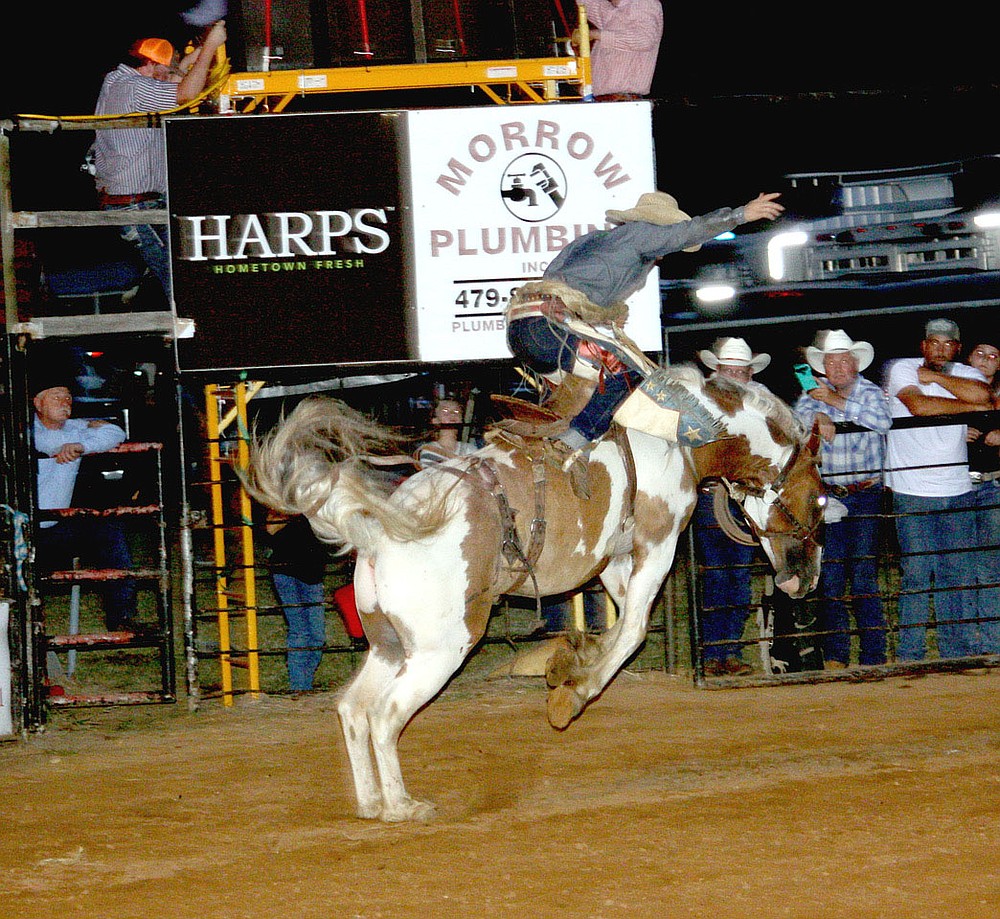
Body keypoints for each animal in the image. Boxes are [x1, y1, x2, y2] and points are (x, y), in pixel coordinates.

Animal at [246, 370, 824, 824]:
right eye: (818, 499)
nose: (806, 579)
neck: (680, 434)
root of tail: (378, 533)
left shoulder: (615, 558)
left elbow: (619, 620)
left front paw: (570, 661)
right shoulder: (657, 541)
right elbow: (634, 628)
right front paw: (573, 693)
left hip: (389, 644)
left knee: (354, 708)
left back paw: (369, 802)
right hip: (439, 648)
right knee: (386, 714)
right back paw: (402, 806)